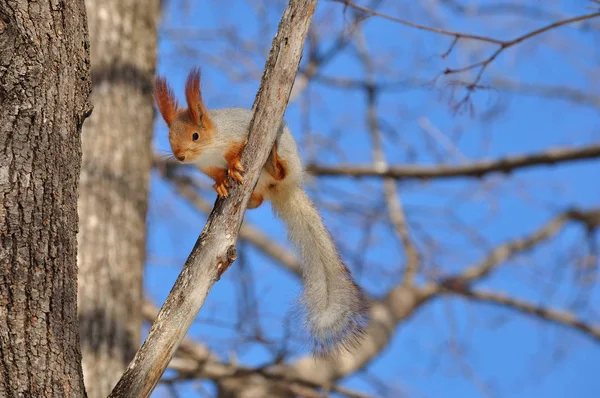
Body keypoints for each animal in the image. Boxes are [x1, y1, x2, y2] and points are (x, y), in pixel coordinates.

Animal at [154, 67, 370, 356]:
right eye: (169, 138)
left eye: (195, 136)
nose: (179, 157)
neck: (211, 148)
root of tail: (288, 188)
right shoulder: (205, 167)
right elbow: (215, 174)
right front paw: (220, 183)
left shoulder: (236, 135)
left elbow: (236, 150)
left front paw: (234, 164)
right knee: (258, 200)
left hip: (288, 160)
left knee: (281, 171)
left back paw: (275, 162)